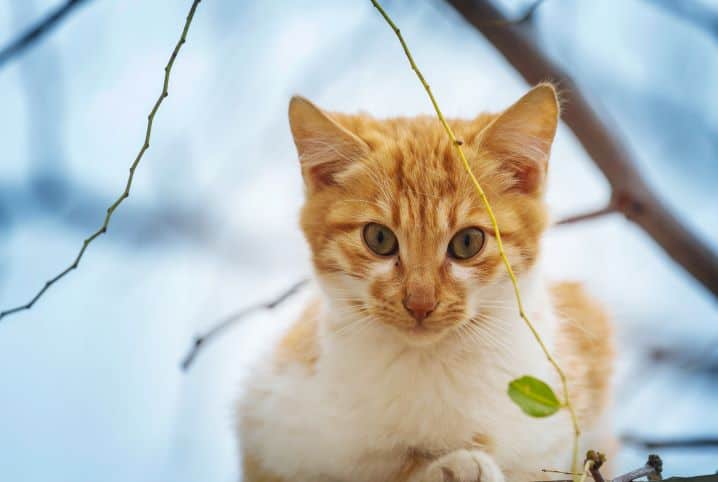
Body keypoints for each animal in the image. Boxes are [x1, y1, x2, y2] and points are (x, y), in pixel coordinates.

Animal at [239, 84, 616, 480]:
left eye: (467, 242)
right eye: (378, 238)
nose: (420, 303)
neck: (429, 362)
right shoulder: (265, 420)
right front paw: (448, 466)